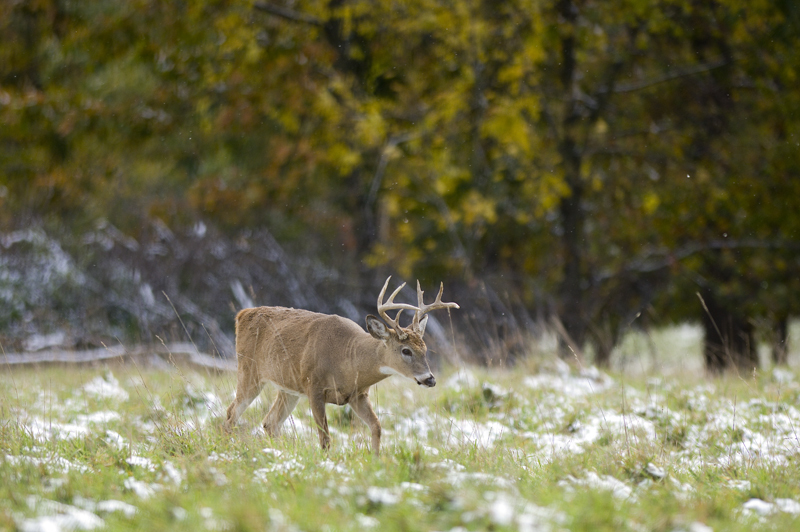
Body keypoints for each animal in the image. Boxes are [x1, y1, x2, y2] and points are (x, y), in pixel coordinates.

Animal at [222, 276, 460, 456]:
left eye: (425, 349)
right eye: (406, 350)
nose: (430, 379)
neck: (347, 359)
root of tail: (241, 314)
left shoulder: (357, 395)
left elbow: (376, 427)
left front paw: (376, 459)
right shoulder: (314, 387)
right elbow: (325, 437)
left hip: (288, 388)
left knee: (269, 422)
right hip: (249, 371)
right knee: (232, 412)